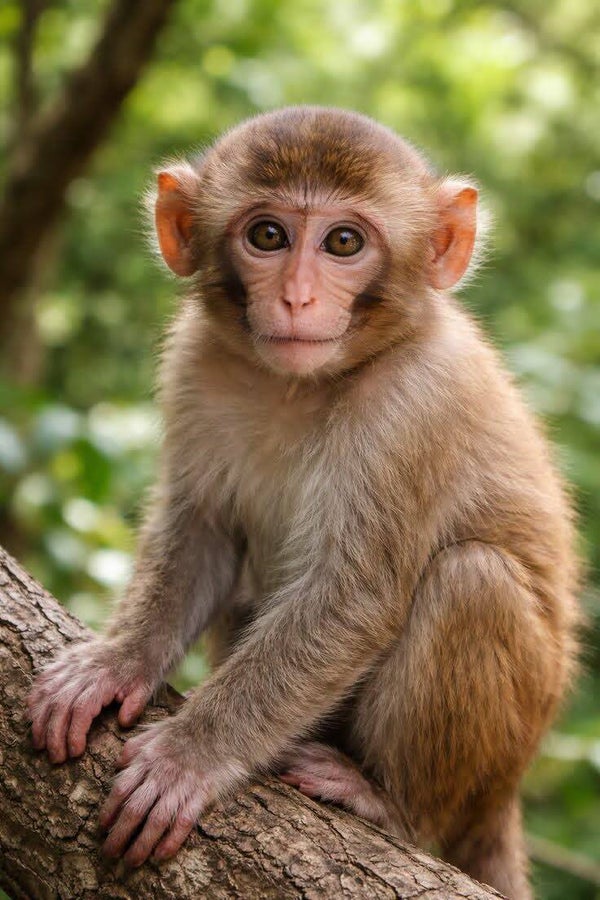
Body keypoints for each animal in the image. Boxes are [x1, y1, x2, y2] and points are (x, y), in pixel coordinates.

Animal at [27, 106, 579, 899]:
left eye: (344, 242)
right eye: (268, 236)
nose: (296, 298)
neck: (299, 385)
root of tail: (503, 798)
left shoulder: (415, 402)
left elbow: (354, 597)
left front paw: (189, 755)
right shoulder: (195, 360)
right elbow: (204, 531)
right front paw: (116, 663)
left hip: (498, 755)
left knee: (473, 578)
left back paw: (391, 804)